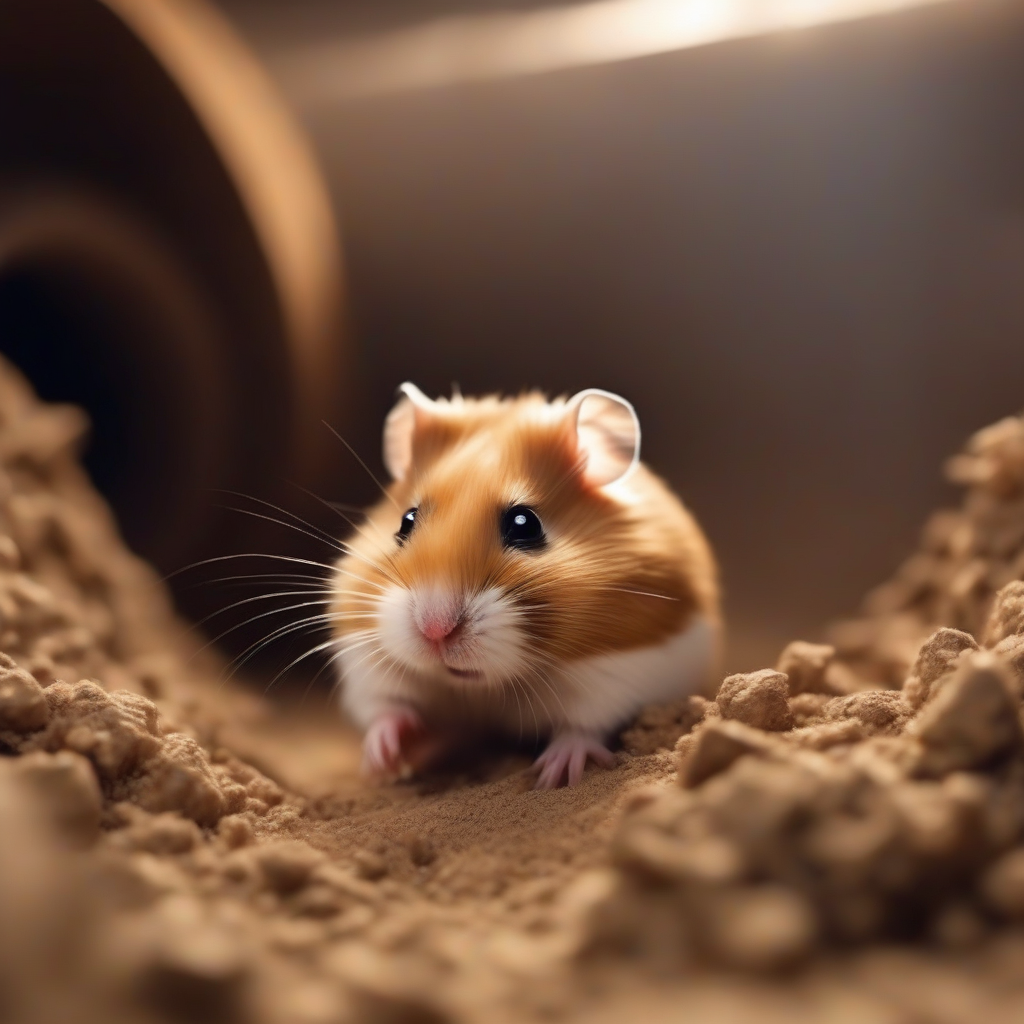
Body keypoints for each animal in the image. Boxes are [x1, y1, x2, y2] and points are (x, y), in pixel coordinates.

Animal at [330, 384, 719, 789]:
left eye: (525, 524)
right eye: (406, 521)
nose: (435, 631)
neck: (484, 687)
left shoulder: (621, 673)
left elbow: (583, 726)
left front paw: (553, 775)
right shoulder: (366, 661)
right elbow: (386, 708)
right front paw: (380, 760)